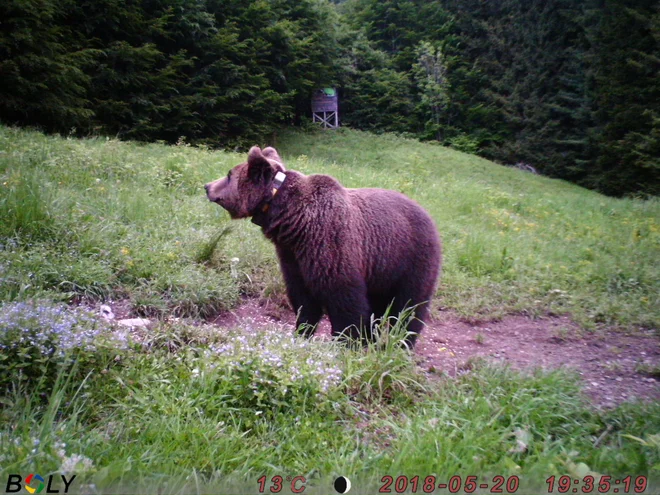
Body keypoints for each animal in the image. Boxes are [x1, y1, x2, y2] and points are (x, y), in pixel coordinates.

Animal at [205, 146, 444, 348]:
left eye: (229, 174)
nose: (207, 186)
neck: (293, 219)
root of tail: (429, 216)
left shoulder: (330, 244)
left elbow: (344, 300)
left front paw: (347, 342)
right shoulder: (293, 257)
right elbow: (303, 299)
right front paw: (302, 333)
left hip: (411, 257)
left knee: (409, 307)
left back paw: (401, 343)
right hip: (381, 269)